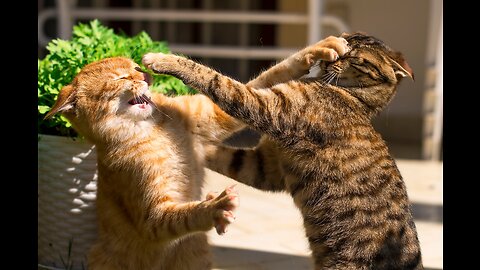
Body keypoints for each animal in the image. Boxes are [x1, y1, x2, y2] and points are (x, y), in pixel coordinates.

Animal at [43, 35, 346, 270]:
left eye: (135, 66)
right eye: (122, 76)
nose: (145, 75)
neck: (155, 128)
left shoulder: (214, 113)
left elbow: (268, 76)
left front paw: (320, 48)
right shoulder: (153, 216)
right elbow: (183, 216)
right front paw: (214, 208)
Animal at [142, 32, 424, 270]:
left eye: (354, 58)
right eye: (344, 44)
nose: (334, 58)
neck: (355, 100)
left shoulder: (266, 108)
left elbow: (216, 79)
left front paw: (163, 59)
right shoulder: (265, 166)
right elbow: (221, 154)